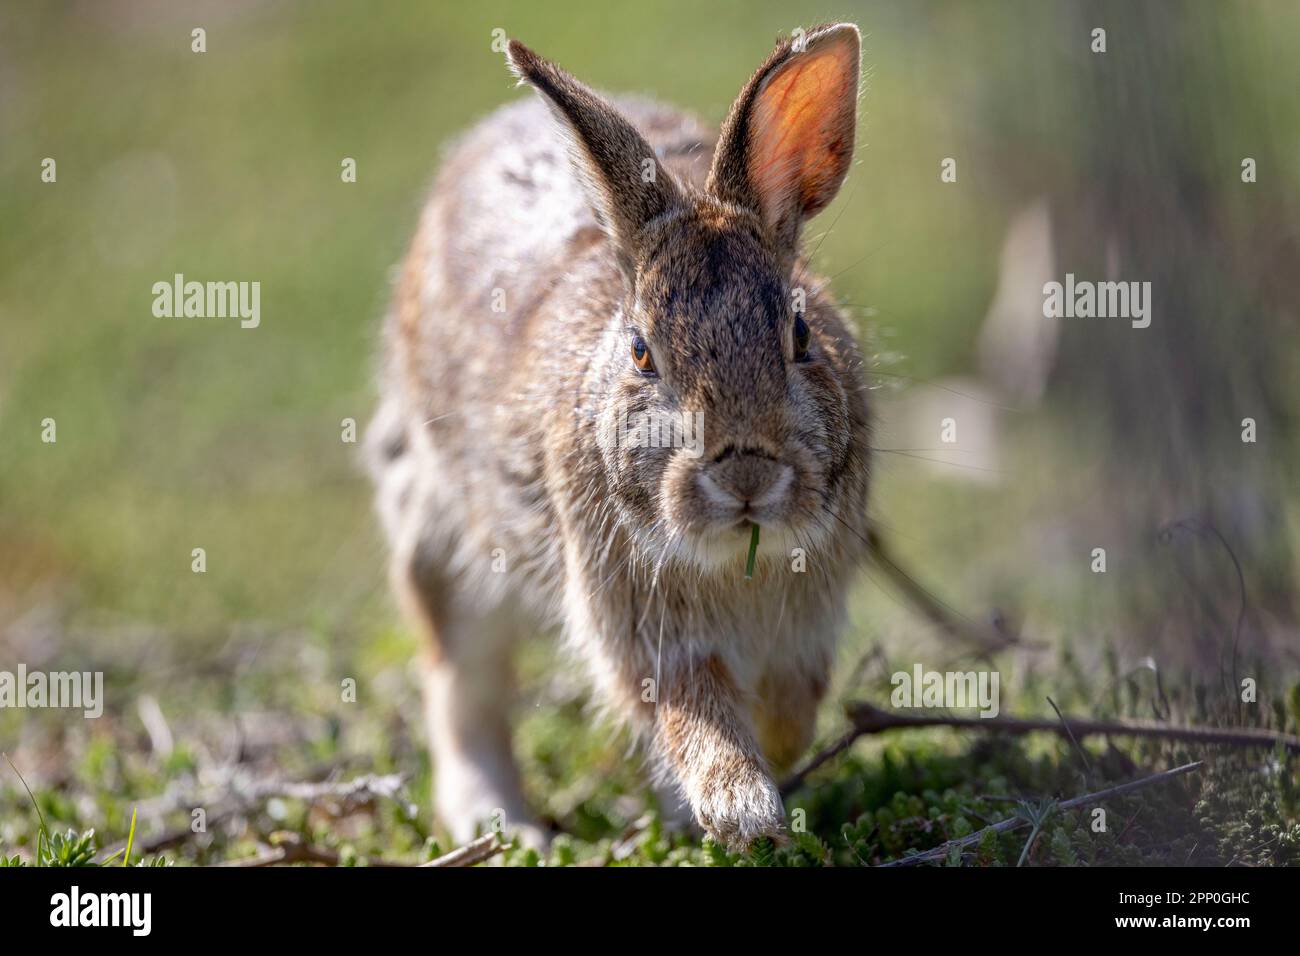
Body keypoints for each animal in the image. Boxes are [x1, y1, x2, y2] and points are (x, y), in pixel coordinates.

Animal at [366, 22, 870, 850]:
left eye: (800, 335)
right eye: (641, 354)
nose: (746, 476)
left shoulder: (806, 622)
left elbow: (790, 707)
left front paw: (763, 770)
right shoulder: (639, 625)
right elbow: (692, 711)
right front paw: (742, 808)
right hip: (445, 535)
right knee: (460, 685)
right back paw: (504, 827)